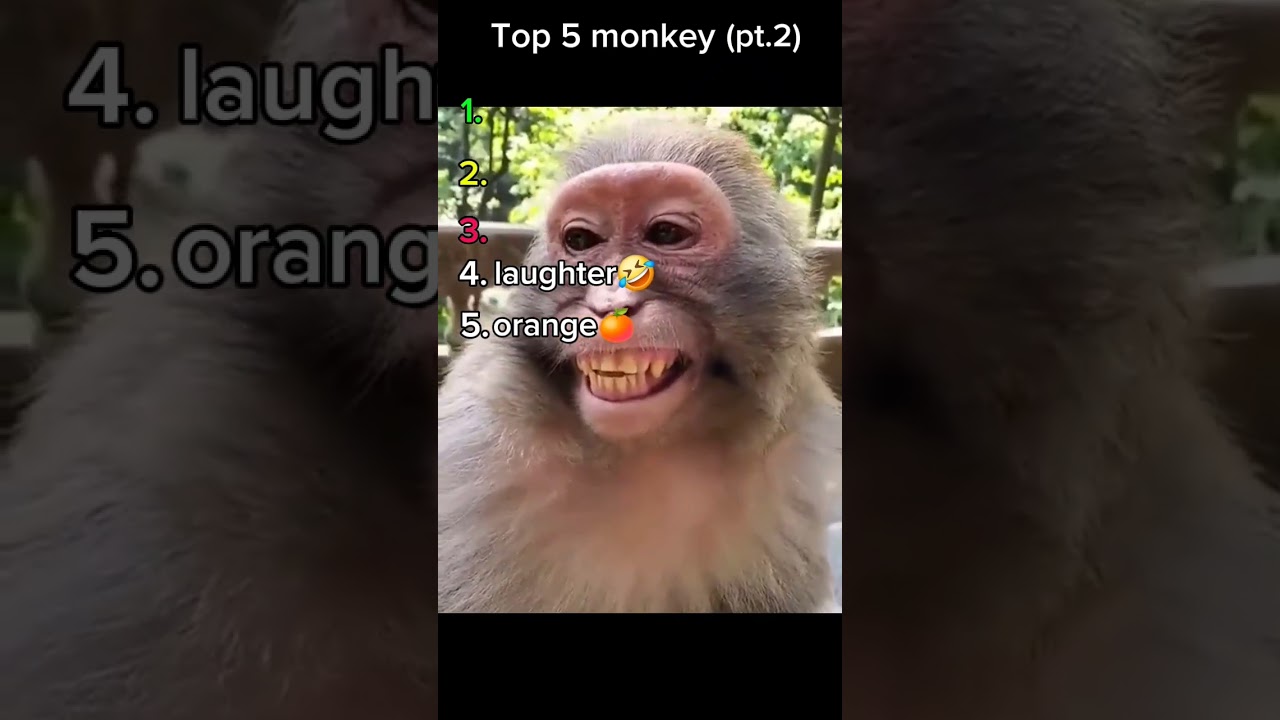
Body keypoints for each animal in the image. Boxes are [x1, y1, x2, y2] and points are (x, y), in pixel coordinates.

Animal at [436, 118, 843, 613]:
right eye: (580, 241)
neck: (647, 449)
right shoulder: (477, 450)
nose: (610, 304)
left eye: (665, 234)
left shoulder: (796, 463)